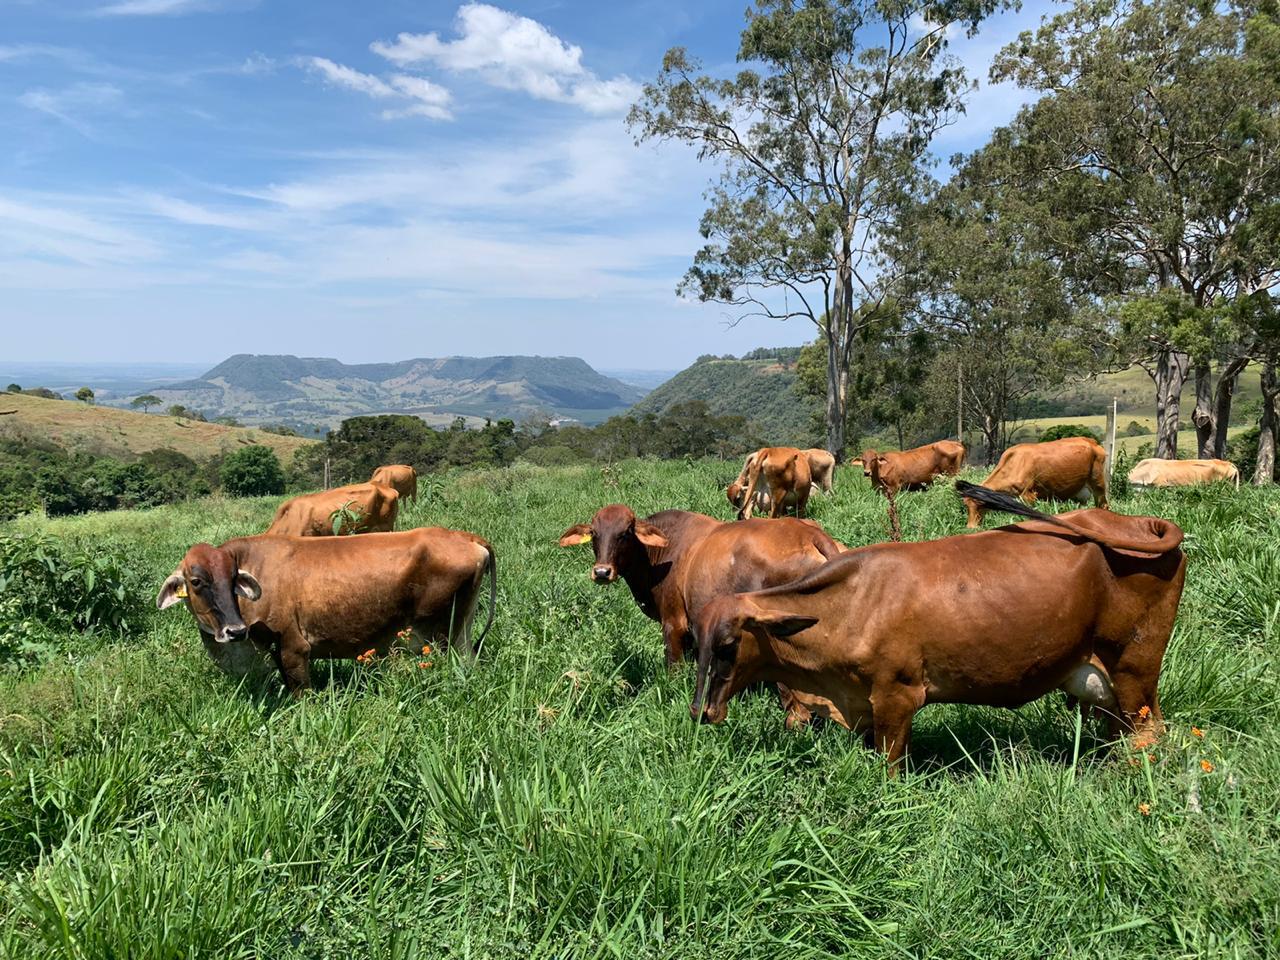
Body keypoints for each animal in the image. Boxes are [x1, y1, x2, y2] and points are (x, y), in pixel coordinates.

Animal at [157, 529, 496, 696]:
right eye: (196, 582)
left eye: (232, 579)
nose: (235, 630)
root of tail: (466, 537)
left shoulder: (293, 648)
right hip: (462, 634)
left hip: (442, 637)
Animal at [691, 481, 1187, 773]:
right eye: (699, 644)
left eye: (729, 645)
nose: (700, 711)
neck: (851, 604)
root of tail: (1135, 522)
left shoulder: (896, 698)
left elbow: (889, 767)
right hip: (1104, 682)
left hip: (1135, 670)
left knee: (1149, 736)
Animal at [962, 437, 1105, 529]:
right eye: (966, 506)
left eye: (980, 505)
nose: (970, 528)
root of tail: (1091, 441)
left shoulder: (1029, 496)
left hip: (1098, 484)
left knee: (1103, 505)